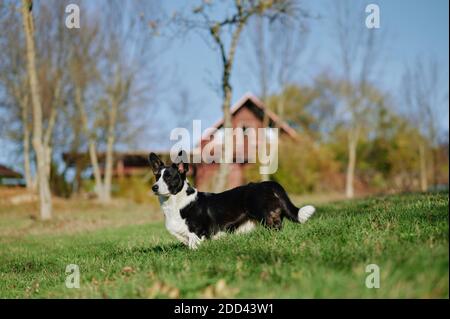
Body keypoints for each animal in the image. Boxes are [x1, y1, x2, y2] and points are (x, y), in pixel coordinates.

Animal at [149, 152, 314, 250]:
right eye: (157, 176)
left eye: (169, 177)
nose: (154, 187)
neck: (177, 202)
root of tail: (267, 184)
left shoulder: (197, 233)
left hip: (265, 216)